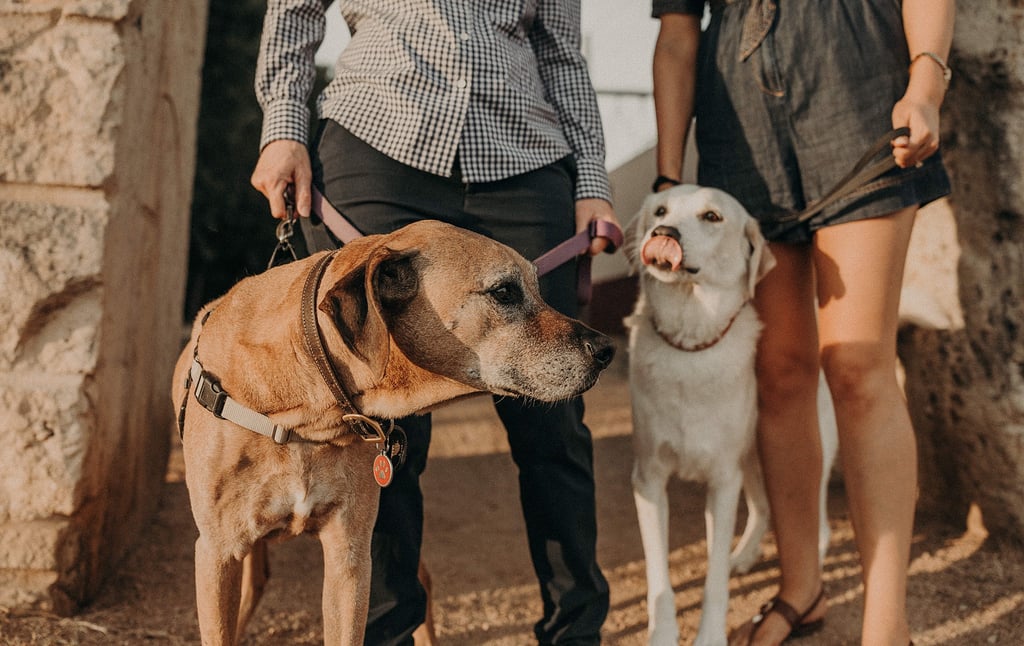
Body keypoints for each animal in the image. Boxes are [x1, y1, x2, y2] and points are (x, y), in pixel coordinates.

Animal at [622, 185, 831, 646]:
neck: (691, 345)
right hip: (752, 456)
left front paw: (710, 636)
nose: (663, 233)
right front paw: (663, 636)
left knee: (817, 505)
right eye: (660, 211)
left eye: (712, 217)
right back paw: (746, 554)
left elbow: (713, 581)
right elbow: (659, 580)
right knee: (763, 508)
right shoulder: (649, 479)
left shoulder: (722, 480)